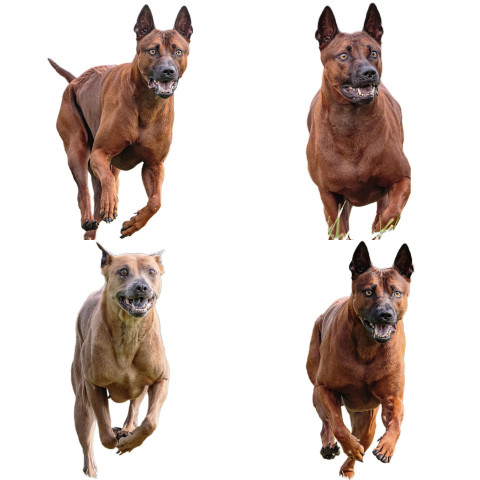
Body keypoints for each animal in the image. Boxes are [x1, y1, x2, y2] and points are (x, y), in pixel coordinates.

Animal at [48, 4, 191, 240]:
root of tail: (76, 80)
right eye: (152, 51)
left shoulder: (154, 165)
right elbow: (106, 181)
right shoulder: (99, 154)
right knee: (84, 190)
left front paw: (134, 223)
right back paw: (89, 217)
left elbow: (156, 202)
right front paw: (110, 204)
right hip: (76, 146)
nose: (168, 72)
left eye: (178, 51)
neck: (148, 104)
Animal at [70, 244, 169, 476]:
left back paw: (127, 429)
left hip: (140, 390)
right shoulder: (94, 385)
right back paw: (90, 468)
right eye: (123, 271)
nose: (141, 287)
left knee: (134, 410)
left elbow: (150, 422)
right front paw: (114, 437)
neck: (130, 332)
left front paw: (130, 441)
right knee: (87, 433)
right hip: (81, 400)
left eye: (151, 271)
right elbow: (105, 435)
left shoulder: (161, 379)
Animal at [308, 1, 408, 238]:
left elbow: (390, 213)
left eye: (373, 52)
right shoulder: (328, 193)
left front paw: (382, 229)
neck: (352, 123)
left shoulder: (402, 179)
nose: (369, 73)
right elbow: (338, 229)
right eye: (343, 56)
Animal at [308, 242, 412, 478]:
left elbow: (396, 421)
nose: (385, 315)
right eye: (368, 292)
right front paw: (348, 444)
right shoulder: (326, 388)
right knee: (327, 421)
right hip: (316, 387)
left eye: (397, 293)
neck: (368, 346)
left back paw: (348, 467)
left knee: (362, 438)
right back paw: (331, 445)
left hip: (367, 418)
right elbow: (337, 424)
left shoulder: (392, 397)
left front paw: (387, 445)